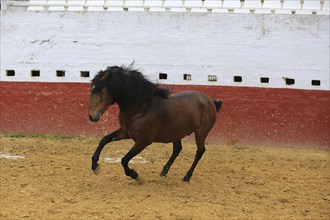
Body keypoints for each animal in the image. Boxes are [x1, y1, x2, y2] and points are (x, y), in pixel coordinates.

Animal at [88, 65, 222, 182]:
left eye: (101, 91)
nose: (91, 116)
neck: (140, 107)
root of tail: (210, 101)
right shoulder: (125, 132)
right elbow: (104, 140)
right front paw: (95, 167)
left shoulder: (144, 141)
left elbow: (124, 160)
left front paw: (136, 176)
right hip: (176, 133)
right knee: (177, 149)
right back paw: (164, 172)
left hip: (201, 132)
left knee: (200, 151)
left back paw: (187, 177)